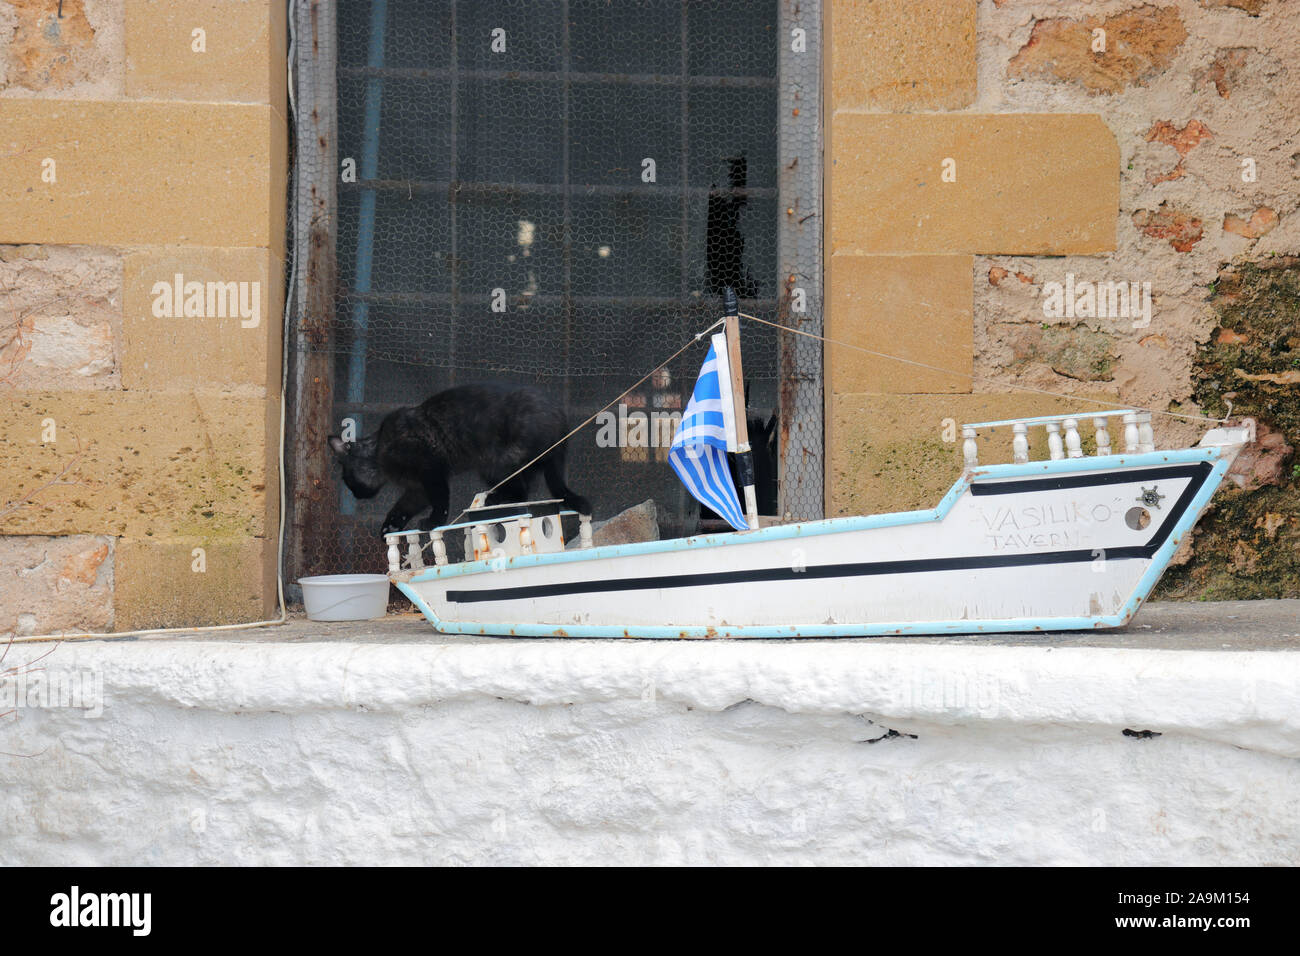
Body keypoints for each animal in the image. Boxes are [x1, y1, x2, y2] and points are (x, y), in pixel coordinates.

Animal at [327, 387, 592, 538]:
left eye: (346, 479)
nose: (355, 494)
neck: (380, 450)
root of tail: (559, 421)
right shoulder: (416, 489)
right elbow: (401, 508)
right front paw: (389, 527)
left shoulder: (430, 470)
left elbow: (441, 501)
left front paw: (434, 522)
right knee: (521, 491)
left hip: (498, 461)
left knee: (519, 492)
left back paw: (494, 501)